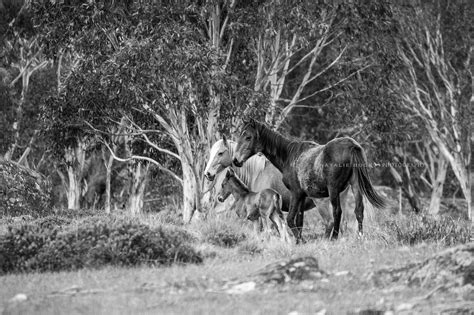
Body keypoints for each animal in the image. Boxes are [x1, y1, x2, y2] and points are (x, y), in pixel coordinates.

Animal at [233, 119, 386, 242]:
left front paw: (300, 240)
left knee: (336, 213)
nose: (236, 160)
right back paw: (359, 237)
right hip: (355, 186)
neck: (289, 156)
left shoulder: (295, 193)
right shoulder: (302, 196)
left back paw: (333, 238)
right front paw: (298, 241)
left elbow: (289, 220)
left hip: (333, 191)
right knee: (358, 211)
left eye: (248, 137)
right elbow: (299, 221)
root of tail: (351, 145)